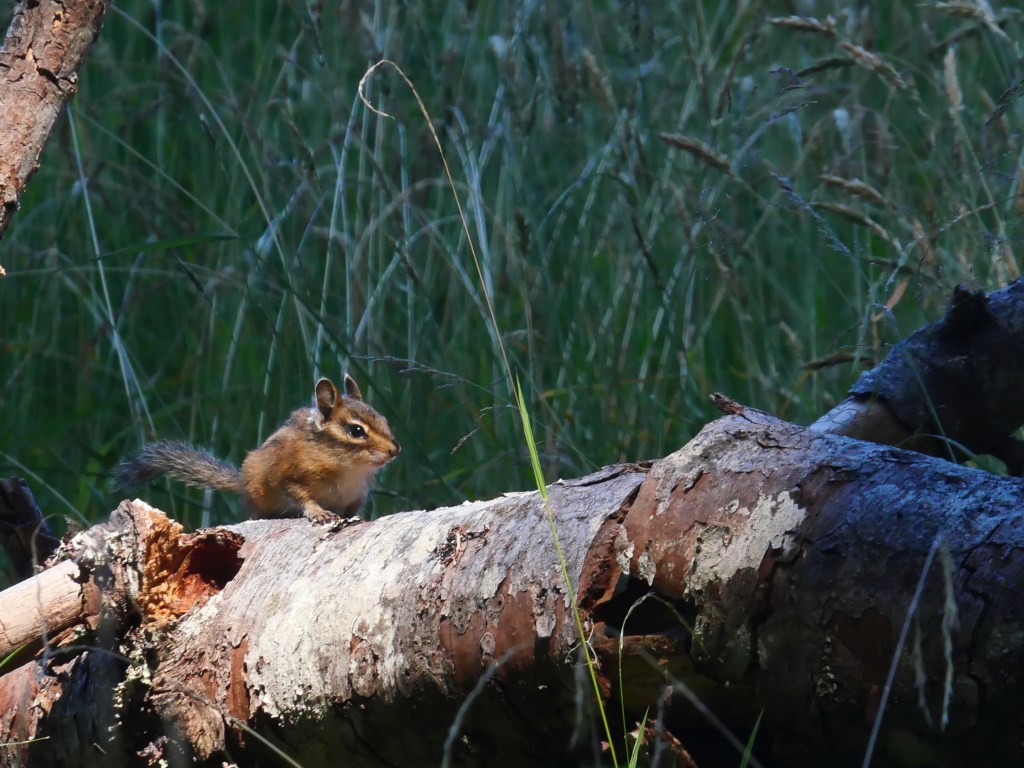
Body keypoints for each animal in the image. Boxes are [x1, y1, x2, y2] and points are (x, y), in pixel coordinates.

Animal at [113, 375, 400, 524]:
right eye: (356, 431)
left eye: (384, 420)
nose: (395, 450)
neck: (347, 467)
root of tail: (241, 481)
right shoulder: (287, 475)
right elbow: (300, 496)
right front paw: (318, 512)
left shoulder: (358, 492)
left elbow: (353, 509)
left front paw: (357, 518)